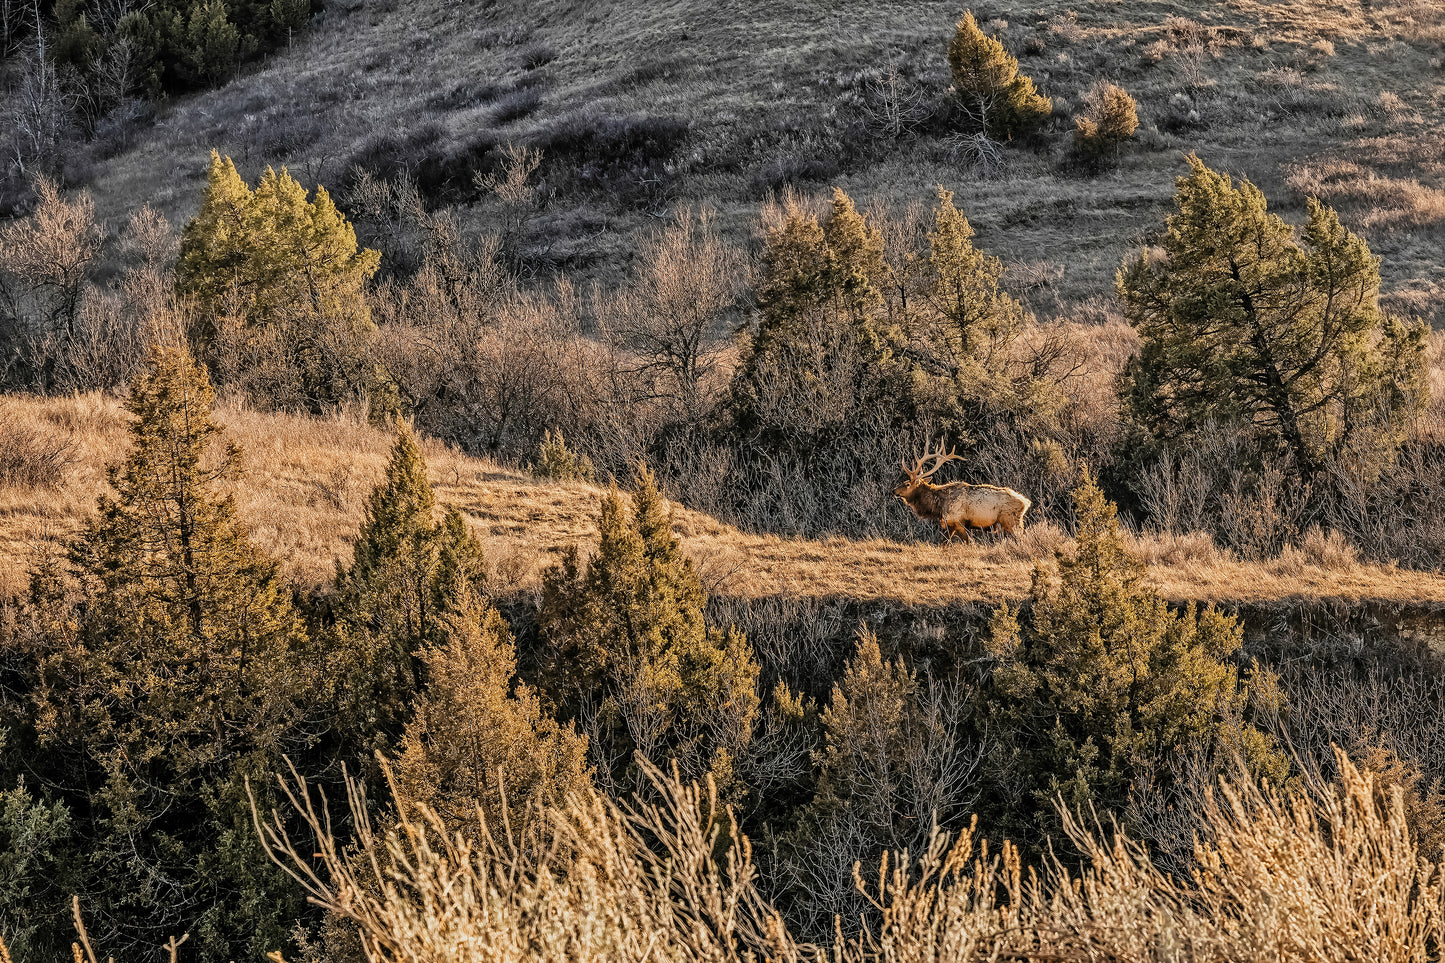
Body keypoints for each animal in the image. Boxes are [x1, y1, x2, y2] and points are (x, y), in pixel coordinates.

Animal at [893, 441, 1031, 543]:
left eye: (907, 484)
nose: (894, 490)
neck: (939, 506)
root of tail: (1026, 502)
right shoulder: (948, 525)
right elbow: (944, 543)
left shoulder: (957, 522)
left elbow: (969, 542)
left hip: (1012, 521)